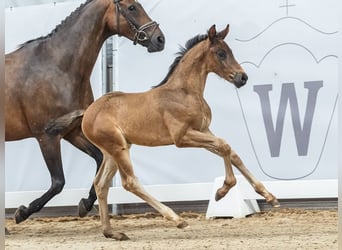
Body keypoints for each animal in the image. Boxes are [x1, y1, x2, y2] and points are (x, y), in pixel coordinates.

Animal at [4, 0, 165, 224]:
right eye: (132, 7)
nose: (160, 39)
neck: (56, 68)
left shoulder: (72, 132)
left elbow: (99, 159)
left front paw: (85, 204)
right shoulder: (47, 137)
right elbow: (58, 182)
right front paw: (22, 212)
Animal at [79, 23, 280, 240]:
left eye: (230, 51)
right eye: (221, 53)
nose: (242, 77)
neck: (185, 92)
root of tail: (87, 113)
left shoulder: (203, 130)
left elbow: (231, 152)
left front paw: (269, 196)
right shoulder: (182, 137)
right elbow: (224, 145)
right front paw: (222, 191)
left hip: (113, 151)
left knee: (101, 184)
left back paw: (111, 232)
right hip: (118, 148)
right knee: (130, 182)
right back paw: (177, 219)